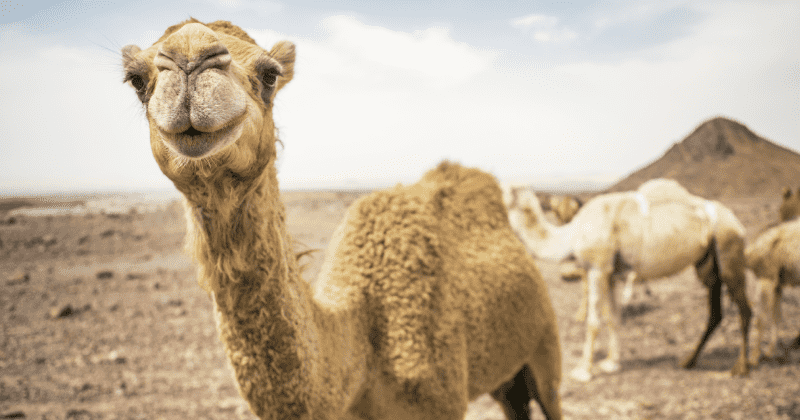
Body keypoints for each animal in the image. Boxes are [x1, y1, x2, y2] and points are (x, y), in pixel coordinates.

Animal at [121, 19, 562, 420]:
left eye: (269, 75)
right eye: (136, 80)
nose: (190, 56)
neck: (362, 348)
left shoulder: (442, 400)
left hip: (545, 344)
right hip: (505, 373)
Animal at [502, 178, 752, 381]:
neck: (572, 234)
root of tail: (737, 222)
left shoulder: (597, 268)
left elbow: (593, 322)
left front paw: (583, 371)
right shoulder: (611, 274)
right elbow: (613, 318)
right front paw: (611, 363)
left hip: (729, 248)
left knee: (745, 309)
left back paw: (740, 368)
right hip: (707, 264)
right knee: (715, 313)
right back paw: (688, 361)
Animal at [746, 217, 800, 364]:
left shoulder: (767, 281)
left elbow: (761, 320)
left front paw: (754, 357)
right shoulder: (777, 285)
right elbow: (776, 317)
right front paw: (770, 352)